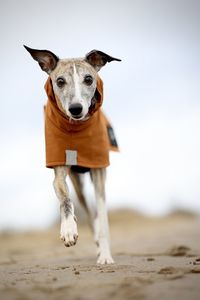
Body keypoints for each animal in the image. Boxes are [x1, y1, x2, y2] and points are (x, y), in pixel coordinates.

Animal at [23, 45, 120, 264]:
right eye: (60, 81)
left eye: (88, 79)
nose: (76, 109)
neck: (77, 128)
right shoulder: (59, 169)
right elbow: (66, 201)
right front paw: (68, 229)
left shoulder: (99, 171)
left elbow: (103, 216)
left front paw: (106, 256)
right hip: (78, 185)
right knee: (89, 214)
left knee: (96, 215)